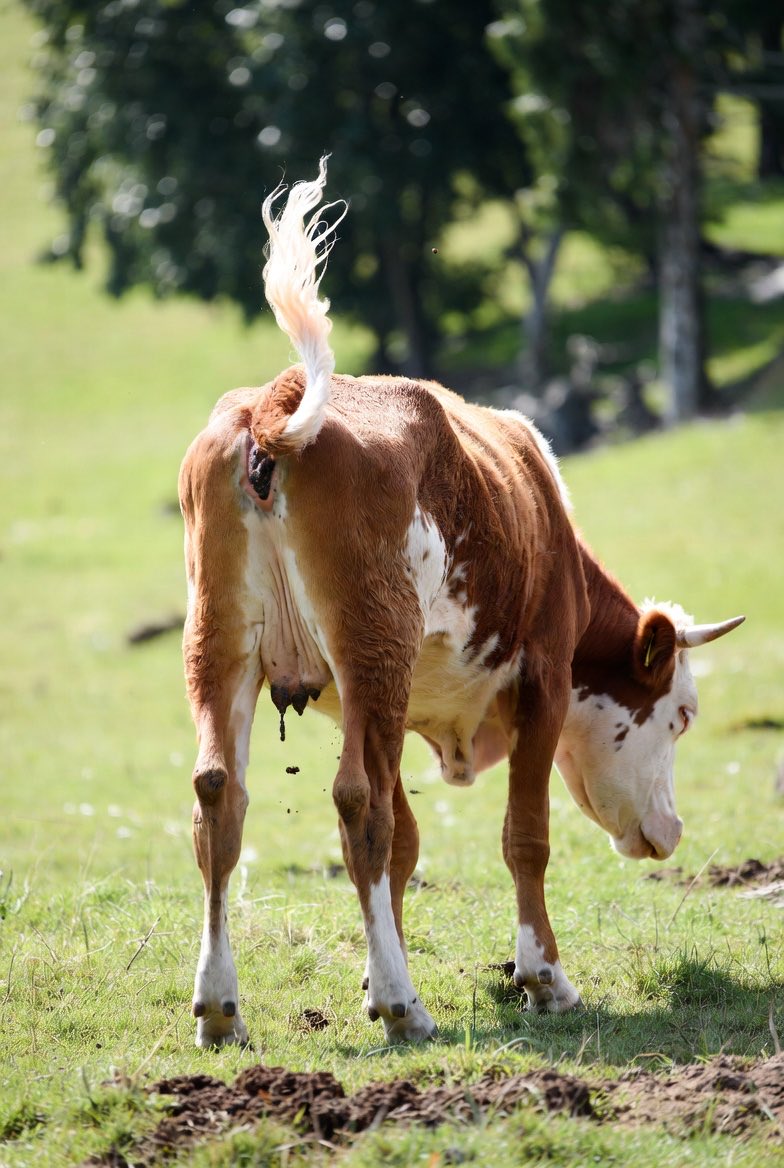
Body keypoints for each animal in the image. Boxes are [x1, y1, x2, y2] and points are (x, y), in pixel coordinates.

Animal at [178, 158, 744, 1048]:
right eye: (682, 716)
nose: (672, 833)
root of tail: (274, 405)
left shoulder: (384, 704)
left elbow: (405, 847)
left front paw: (374, 978)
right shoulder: (541, 677)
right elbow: (524, 837)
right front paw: (542, 979)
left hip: (226, 646)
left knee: (221, 800)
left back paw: (221, 1006)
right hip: (372, 649)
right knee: (358, 805)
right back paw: (405, 1008)